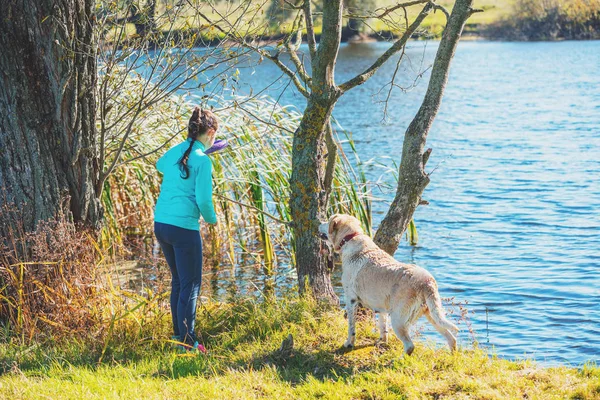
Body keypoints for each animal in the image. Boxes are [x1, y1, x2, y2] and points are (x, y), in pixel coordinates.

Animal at [322, 214, 458, 354]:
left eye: (328, 221)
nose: (319, 223)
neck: (351, 238)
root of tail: (427, 282)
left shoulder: (351, 299)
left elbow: (351, 327)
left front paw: (349, 344)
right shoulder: (381, 305)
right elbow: (383, 325)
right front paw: (382, 341)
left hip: (398, 319)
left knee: (410, 346)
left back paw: (399, 358)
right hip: (432, 314)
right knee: (451, 338)